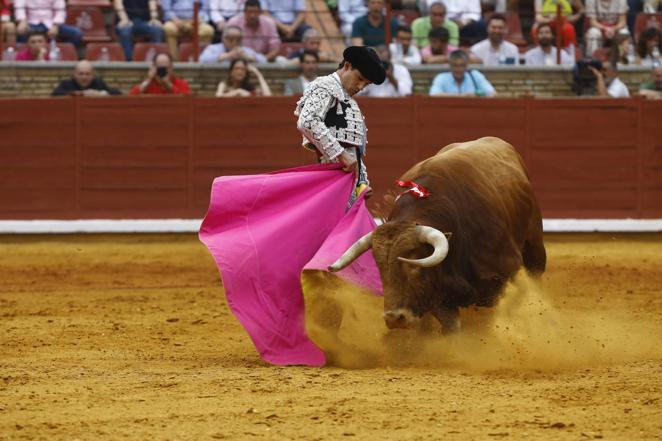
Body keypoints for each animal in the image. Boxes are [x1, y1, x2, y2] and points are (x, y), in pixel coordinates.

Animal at [330, 136, 548, 332]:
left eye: (414, 265)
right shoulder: (439, 297)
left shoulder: (498, 280)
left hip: (534, 250)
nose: (394, 318)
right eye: (380, 267)